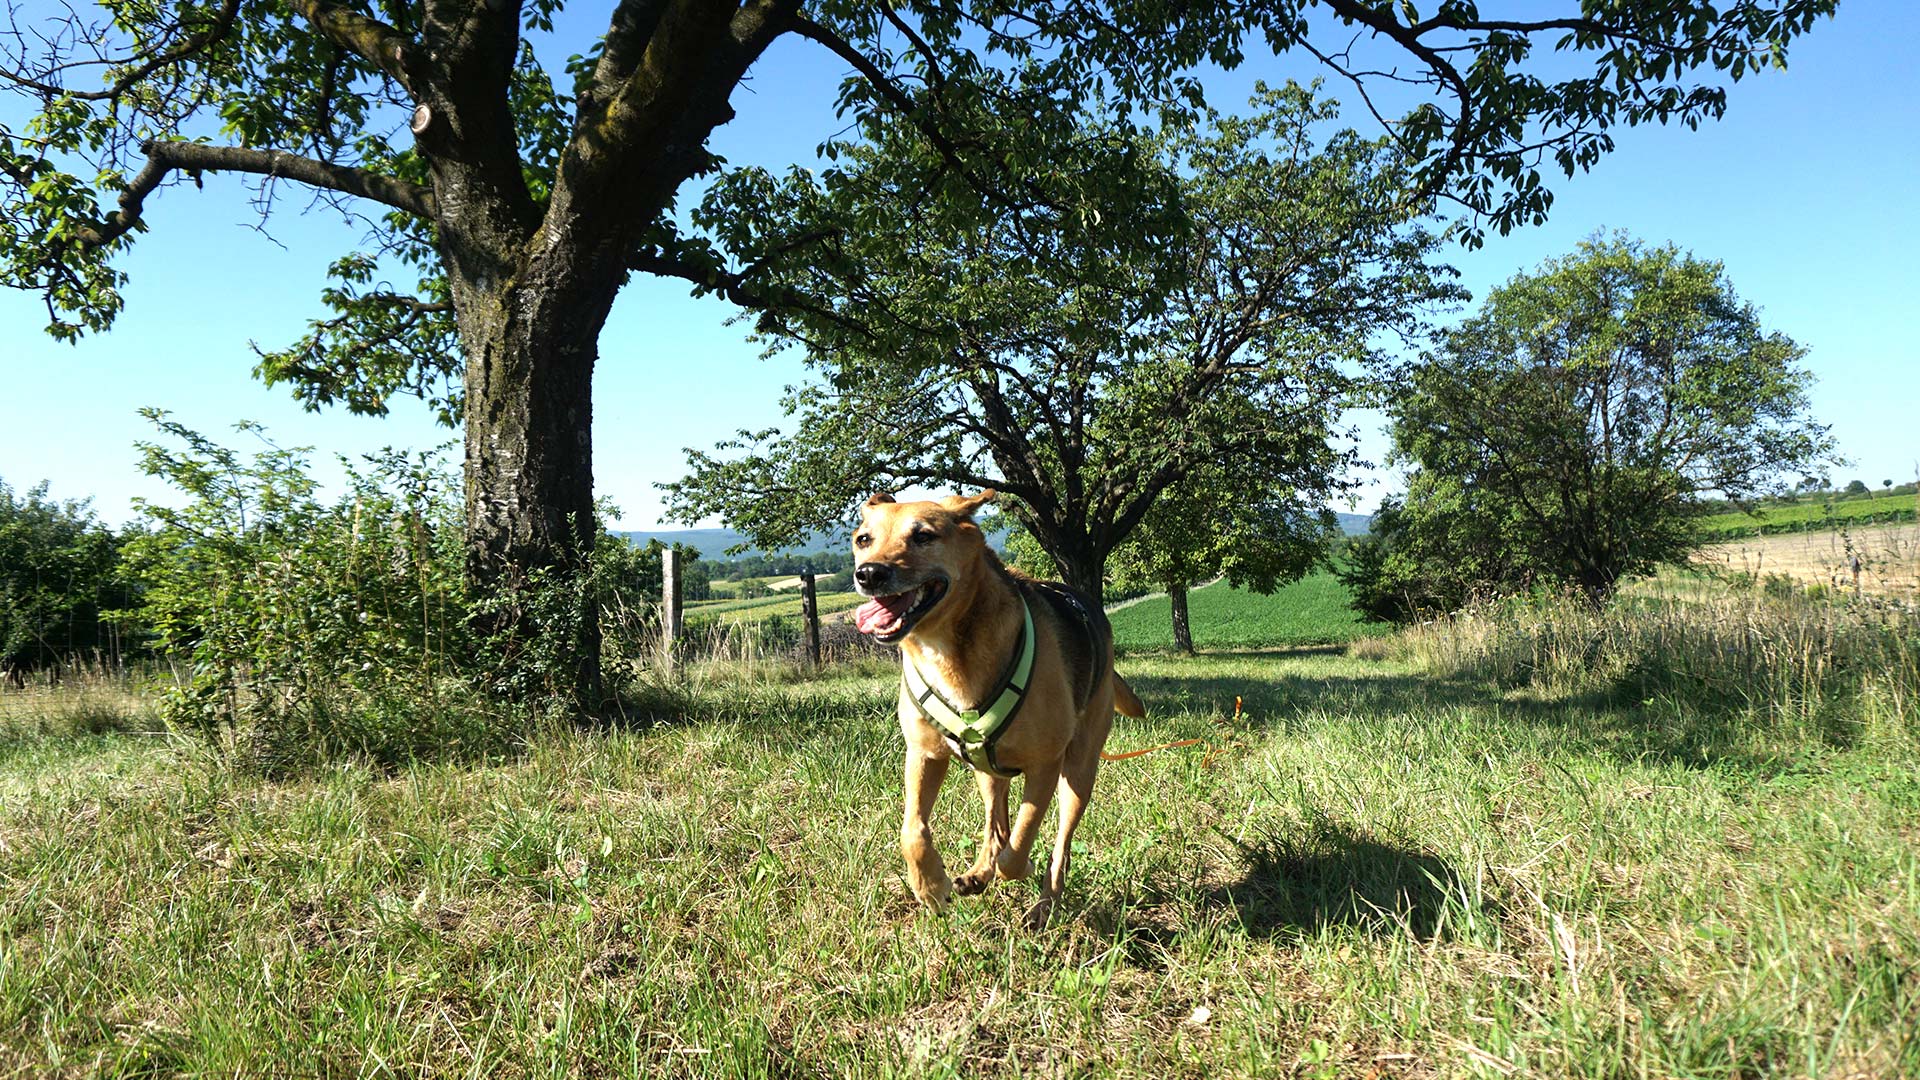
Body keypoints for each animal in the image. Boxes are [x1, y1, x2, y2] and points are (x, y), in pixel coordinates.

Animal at [852, 488, 1136, 926]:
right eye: (863, 539)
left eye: (923, 536)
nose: (868, 574)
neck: (949, 649)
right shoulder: (924, 754)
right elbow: (912, 830)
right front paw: (930, 887)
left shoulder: (1045, 765)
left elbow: (1020, 845)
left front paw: (1019, 867)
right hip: (986, 771)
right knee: (995, 826)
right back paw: (977, 874)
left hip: (1078, 772)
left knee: (1058, 846)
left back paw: (1043, 905)